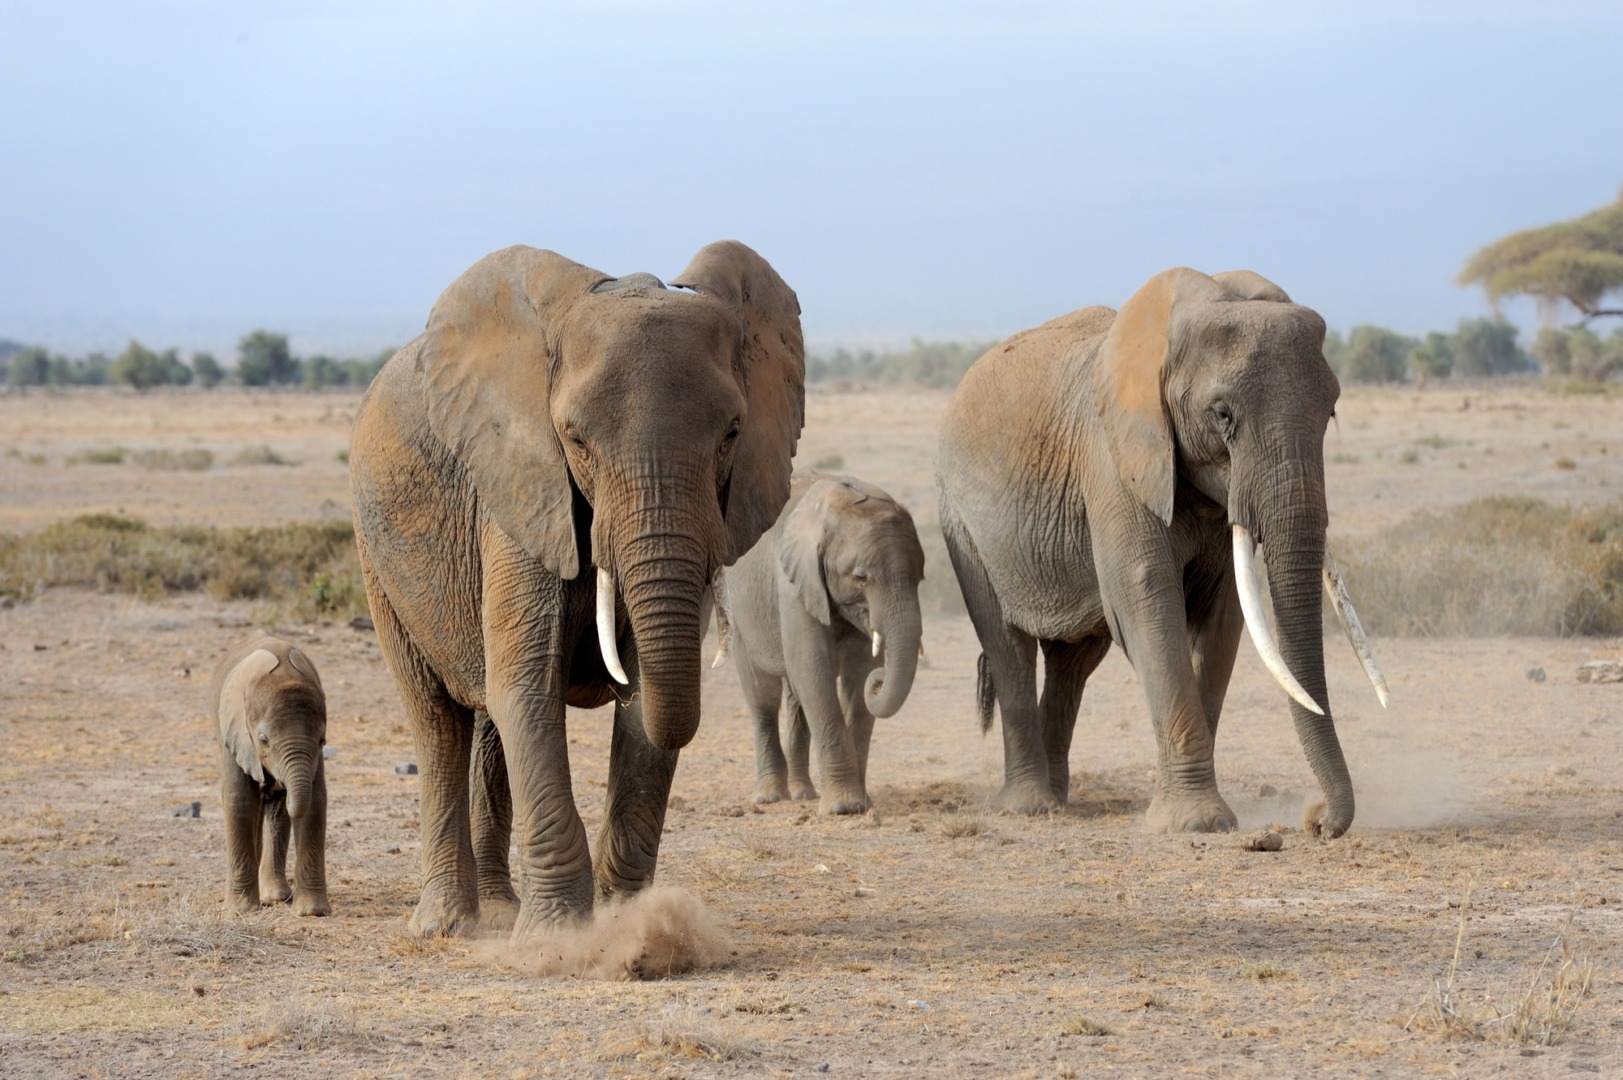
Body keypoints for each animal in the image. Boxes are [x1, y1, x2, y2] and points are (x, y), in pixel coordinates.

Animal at [212, 636, 332, 915]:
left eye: (322, 740)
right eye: (264, 740)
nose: (275, 782)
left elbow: (316, 801)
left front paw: (312, 912)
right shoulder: (235, 733)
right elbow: (239, 800)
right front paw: (241, 911)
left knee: (276, 815)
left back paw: (276, 897)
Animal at [357, 240, 811, 928]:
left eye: (732, 433)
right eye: (575, 439)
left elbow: (638, 711)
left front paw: (633, 926)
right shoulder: (522, 488)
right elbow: (529, 689)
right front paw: (558, 936)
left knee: (489, 722)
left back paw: (498, 913)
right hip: (376, 554)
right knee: (437, 720)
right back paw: (449, 925)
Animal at [723, 467, 928, 812]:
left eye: (920, 577)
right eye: (861, 577)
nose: (880, 680)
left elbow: (857, 677)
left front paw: (862, 803)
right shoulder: (794, 583)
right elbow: (813, 668)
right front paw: (843, 808)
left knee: (796, 697)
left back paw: (803, 793)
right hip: (741, 614)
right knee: (763, 696)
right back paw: (770, 796)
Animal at [941, 267, 1382, 831]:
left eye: (1331, 412)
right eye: (1222, 414)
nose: (1317, 820)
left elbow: (1222, 619)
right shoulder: (1112, 460)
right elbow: (1147, 598)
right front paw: (1198, 823)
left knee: (1074, 661)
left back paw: (1058, 798)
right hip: (961, 523)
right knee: (1007, 646)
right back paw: (1030, 807)